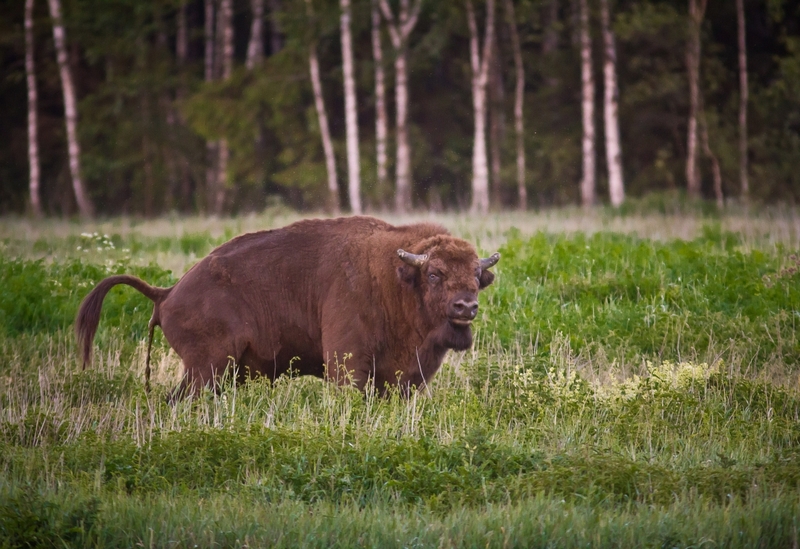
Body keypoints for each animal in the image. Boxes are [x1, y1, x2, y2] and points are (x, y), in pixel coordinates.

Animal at [76, 215, 500, 398]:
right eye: (435, 274)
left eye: (477, 274)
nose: (466, 307)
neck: (394, 276)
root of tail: (167, 292)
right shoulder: (347, 362)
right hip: (208, 367)